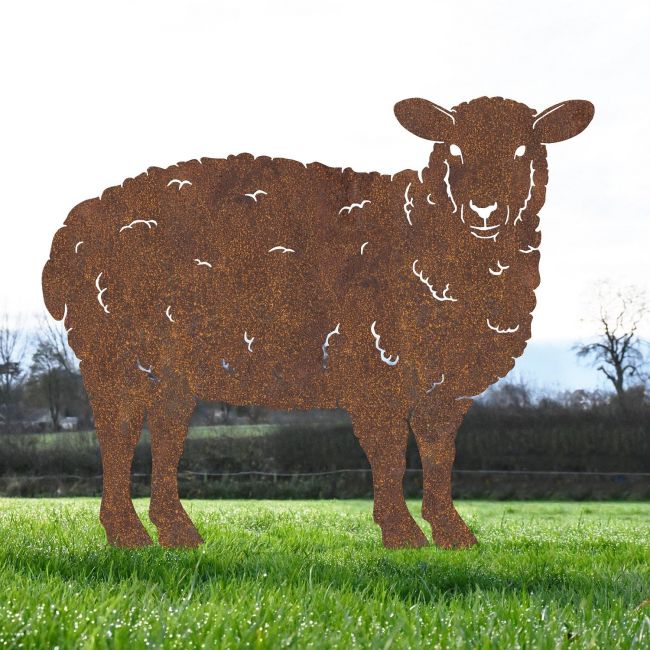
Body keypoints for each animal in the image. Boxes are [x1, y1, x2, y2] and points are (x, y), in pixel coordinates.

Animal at [42, 96, 594, 549]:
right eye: (453, 149)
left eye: (525, 150)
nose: (484, 210)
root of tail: (72, 230)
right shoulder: (375, 365)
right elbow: (390, 453)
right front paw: (402, 534)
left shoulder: (445, 386)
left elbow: (440, 455)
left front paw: (452, 534)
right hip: (115, 356)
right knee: (116, 436)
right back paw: (127, 534)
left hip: (168, 371)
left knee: (165, 434)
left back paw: (176, 533)